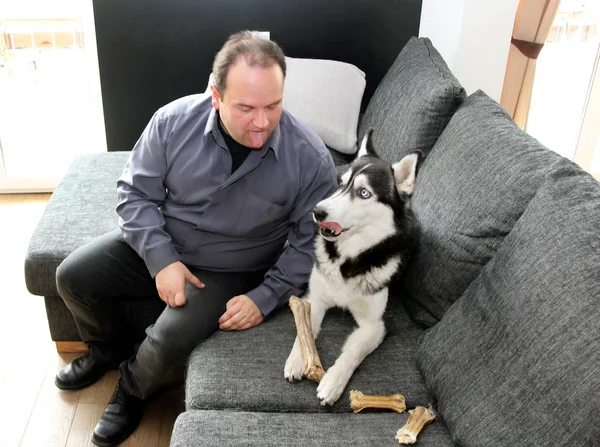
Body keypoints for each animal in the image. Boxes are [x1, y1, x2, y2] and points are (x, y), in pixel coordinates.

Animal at [284, 130, 420, 406]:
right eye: (340, 184)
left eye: (364, 193)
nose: (317, 211)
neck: (348, 257)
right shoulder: (314, 298)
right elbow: (303, 330)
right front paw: (297, 359)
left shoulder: (376, 324)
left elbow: (353, 352)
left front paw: (333, 382)